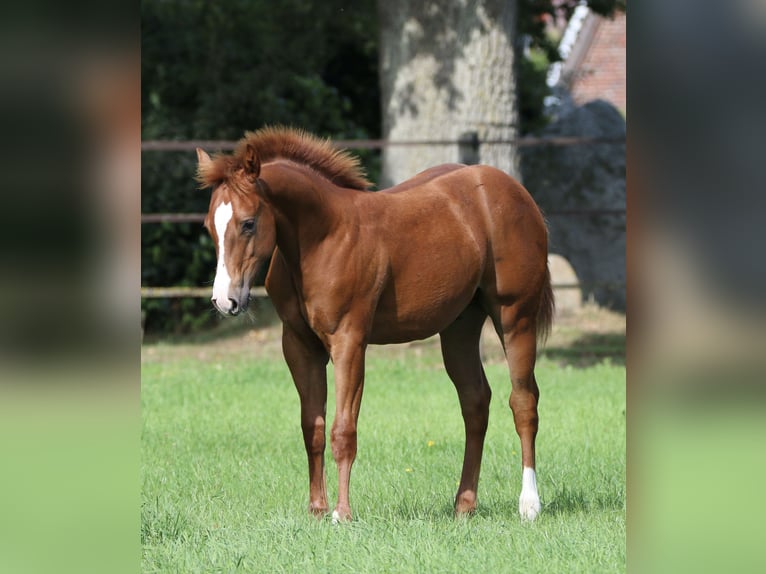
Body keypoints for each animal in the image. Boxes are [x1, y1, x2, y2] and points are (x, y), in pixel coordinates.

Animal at [196, 126, 554, 522]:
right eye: (209, 227)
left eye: (248, 223)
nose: (225, 301)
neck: (322, 238)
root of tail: (515, 191)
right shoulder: (299, 345)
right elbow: (312, 427)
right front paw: (317, 509)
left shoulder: (349, 341)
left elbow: (342, 430)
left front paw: (342, 513)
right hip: (459, 327)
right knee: (475, 402)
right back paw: (464, 504)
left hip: (515, 317)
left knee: (523, 402)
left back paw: (529, 504)